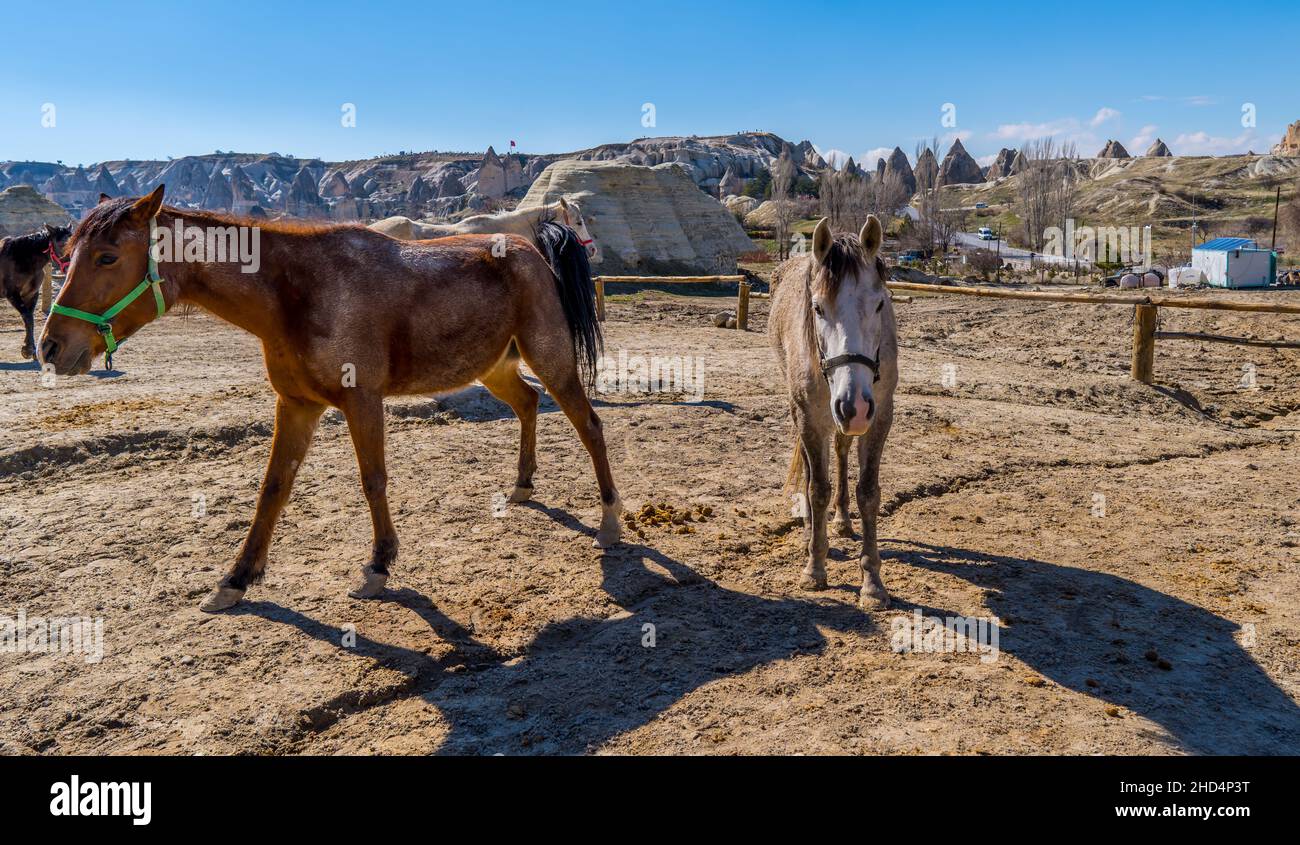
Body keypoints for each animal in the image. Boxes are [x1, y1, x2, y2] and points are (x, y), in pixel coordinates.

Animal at [1, 222, 71, 356]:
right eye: (61, 244)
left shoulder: (31, 294)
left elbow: (29, 318)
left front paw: (30, 347)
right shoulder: (12, 294)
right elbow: (27, 317)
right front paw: (28, 349)